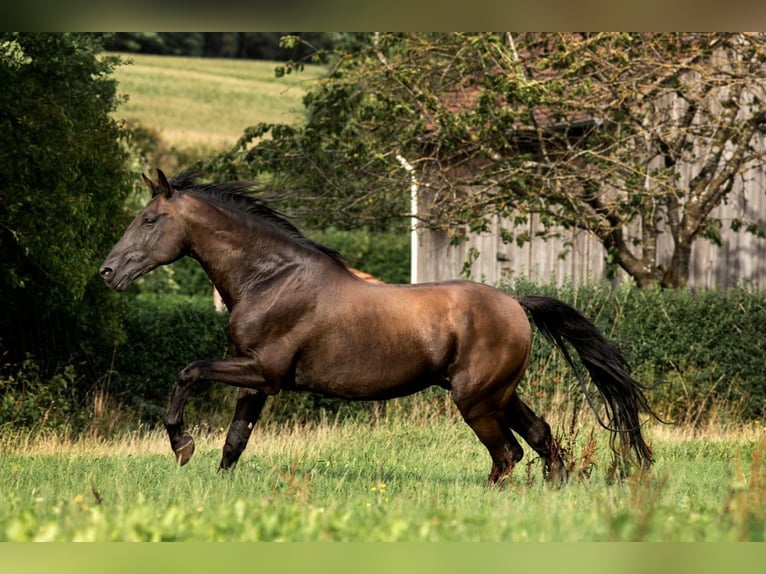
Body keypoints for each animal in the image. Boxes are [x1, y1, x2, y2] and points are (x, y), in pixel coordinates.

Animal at [100, 172, 660, 486]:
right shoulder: (254, 380)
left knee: (507, 454)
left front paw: (181, 444)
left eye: (148, 219)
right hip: (500, 394)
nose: (108, 272)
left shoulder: (263, 372)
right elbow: (235, 441)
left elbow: (189, 371)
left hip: (477, 400)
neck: (271, 278)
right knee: (541, 438)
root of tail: (516, 303)